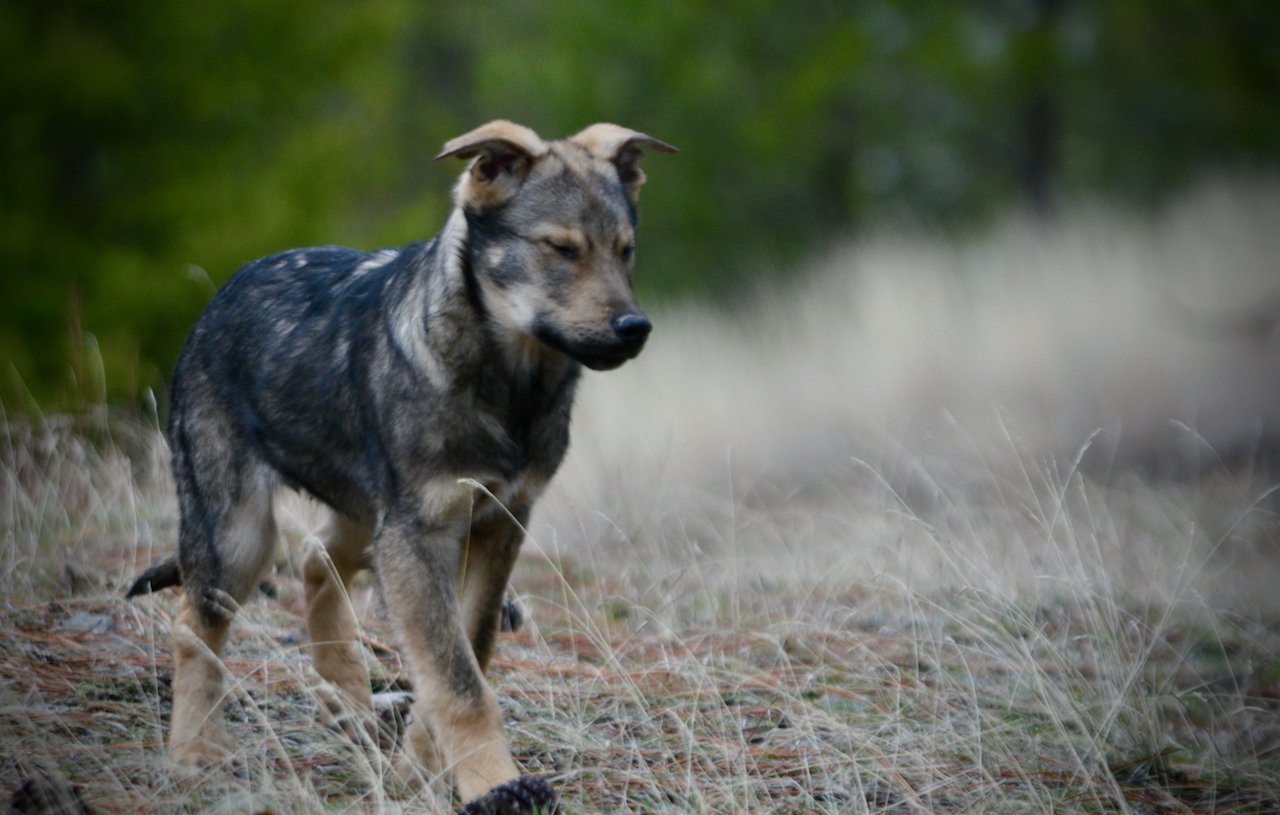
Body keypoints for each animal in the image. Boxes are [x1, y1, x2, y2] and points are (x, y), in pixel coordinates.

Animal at [124, 122, 675, 813]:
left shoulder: (497, 523)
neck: (510, 389)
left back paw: (348, 699)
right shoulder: (420, 535)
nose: (636, 328)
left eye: (625, 252)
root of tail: (226, 289)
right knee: (193, 624)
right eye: (561, 249)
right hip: (242, 534)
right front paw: (493, 782)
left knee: (315, 559)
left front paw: (421, 772)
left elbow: (467, 655)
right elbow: (458, 682)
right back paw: (195, 754)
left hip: (365, 516)